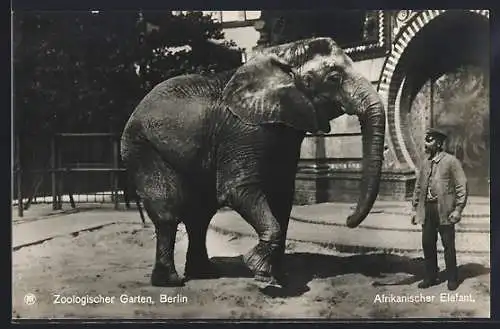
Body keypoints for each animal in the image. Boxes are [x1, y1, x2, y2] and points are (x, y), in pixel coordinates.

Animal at [121, 36, 386, 288]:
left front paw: (278, 277)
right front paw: (259, 270)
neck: (284, 54)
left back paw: (205, 274)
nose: (348, 220)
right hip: (143, 148)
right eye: (333, 78)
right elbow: (239, 190)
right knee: (168, 212)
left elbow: (282, 195)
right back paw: (170, 282)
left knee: (200, 215)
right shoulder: (243, 131)